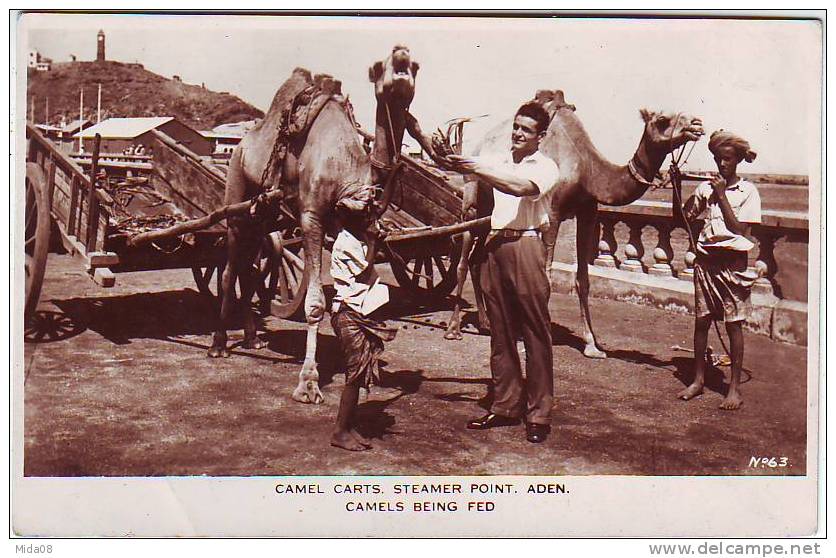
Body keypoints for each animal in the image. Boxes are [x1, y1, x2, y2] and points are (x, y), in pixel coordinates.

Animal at [209, 43, 438, 406]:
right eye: (377, 67)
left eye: (415, 65)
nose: (401, 54)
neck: (348, 167)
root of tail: (242, 143)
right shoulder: (311, 217)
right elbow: (316, 304)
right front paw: (308, 383)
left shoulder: (366, 227)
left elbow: (363, 293)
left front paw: (364, 365)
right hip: (236, 193)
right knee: (231, 267)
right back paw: (218, 344)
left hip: (266, 212)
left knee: (250, 263)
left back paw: (252, 338)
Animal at [440, 88, 704, 358]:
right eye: (662, 120)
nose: (697, 125)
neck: (587, 169)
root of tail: (478, 145)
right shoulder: (552, 213)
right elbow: (545, 276)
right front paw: (537, 337)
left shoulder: (587, 212)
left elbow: (583, 280)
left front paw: (591, 345)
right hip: (472, 198)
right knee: (463, 259)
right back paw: (453, 328)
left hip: (490, 212)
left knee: (477, 259)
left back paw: (485, 323)